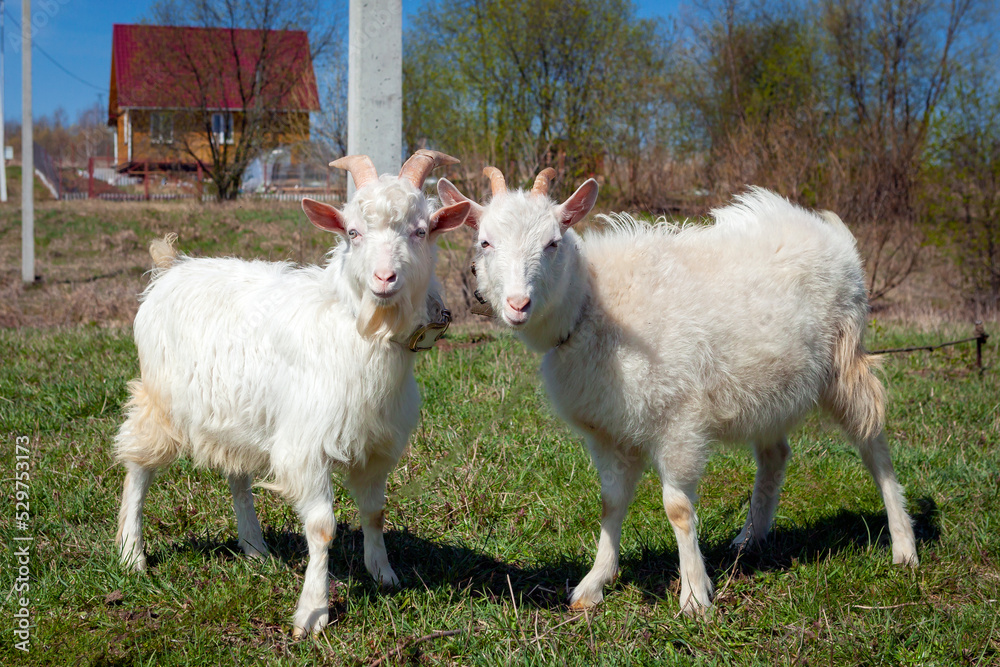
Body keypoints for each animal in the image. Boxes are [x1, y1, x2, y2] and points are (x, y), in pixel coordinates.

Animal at [114, 150, 470, 637]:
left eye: (421, 230)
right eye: (352, 232)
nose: (385, 277)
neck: (356, 329)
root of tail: (170, 267)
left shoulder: (377, 446)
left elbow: (375, 513)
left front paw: (384, 574)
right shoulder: (306, 445)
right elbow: (322, 527)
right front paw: (312, 613)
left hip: (240, 414)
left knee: (236, 475)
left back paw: (254, 547)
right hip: (160, 399)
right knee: (138, 464)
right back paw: (132, 553)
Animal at [438, 168, 918, 614]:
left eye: (553, 242)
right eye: (485, 242)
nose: (518, 304)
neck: (594, 305)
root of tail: (832, 232)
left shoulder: (680, 420)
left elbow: (678, 508)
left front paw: (693, 595)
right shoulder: (608, 431)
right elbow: (610, 503)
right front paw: (593, 584)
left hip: (844, 359)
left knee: (873, 443)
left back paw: (904, 546)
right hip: (769, 385)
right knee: (775, 454)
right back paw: (750, 537)